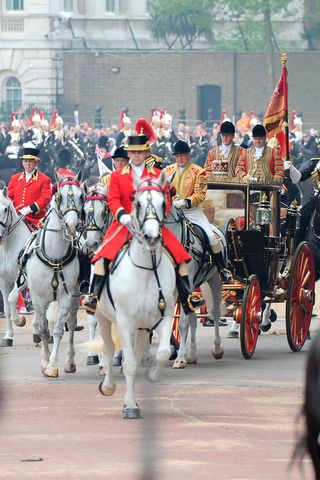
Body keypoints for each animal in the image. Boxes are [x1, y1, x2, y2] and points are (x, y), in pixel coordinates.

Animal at [8, 172, 84, 378]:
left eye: (82, 196)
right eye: (59, 196)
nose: (72, 225)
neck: (55, 256)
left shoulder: (66, 297)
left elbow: (58, 330)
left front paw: (52, 364)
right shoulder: (37, 297)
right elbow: (42, 329)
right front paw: (44, 361)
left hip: (74, 297)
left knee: (71, 323)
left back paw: (70, 361)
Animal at [96, 172, 175, 416]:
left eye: (163, 202)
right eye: (137, 202)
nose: (152, 237)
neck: (147, 271)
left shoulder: (164, 317)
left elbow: (163, 352)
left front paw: (153, 375)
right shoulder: (124, 321)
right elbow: (128, 364)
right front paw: (130, 405)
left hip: (142, 326)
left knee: (139, 350)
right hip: (103, 317)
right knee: (108, 348)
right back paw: (108, 385)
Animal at [165, 205, 225, 368]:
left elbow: (182, 324)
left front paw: (179, 358)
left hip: (215, 280)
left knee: (215, 312)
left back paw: (217, 349)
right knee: (192, 318)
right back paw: (192, 354)